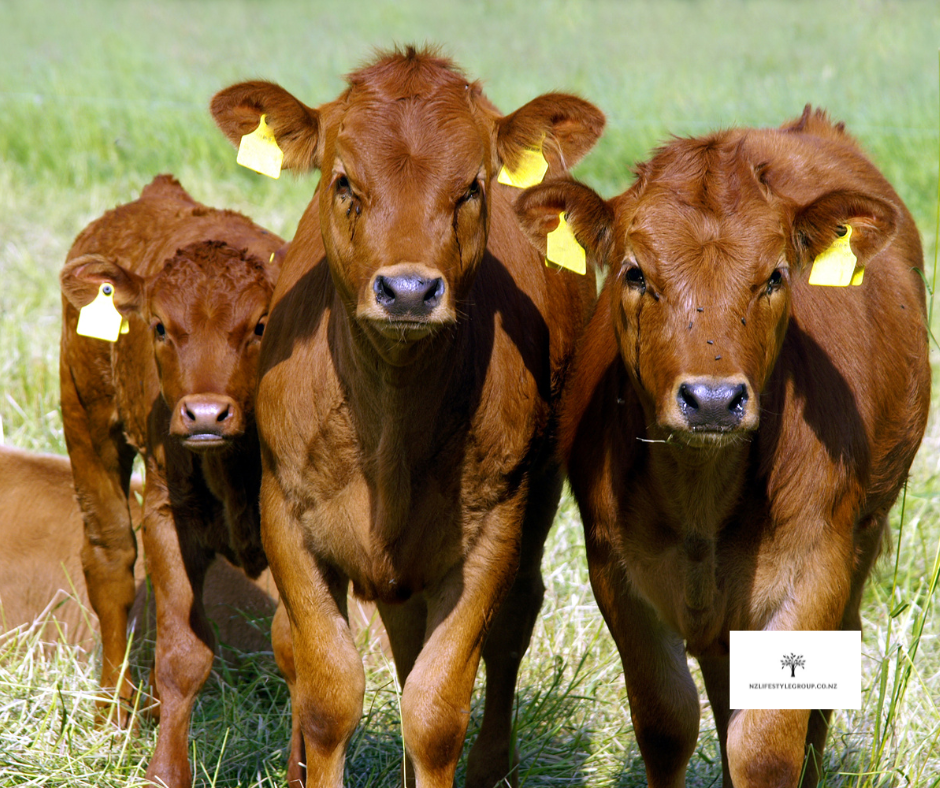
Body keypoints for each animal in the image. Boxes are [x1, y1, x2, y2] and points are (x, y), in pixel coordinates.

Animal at [59, 174, 284, 787]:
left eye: (260, 326)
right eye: (159, 326)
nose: (205, 413)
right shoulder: (167, 513)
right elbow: (182, 656)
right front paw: (165, 771)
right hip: (86, 420)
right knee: (110, 562)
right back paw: (113, 718)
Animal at [210, 46, 605, 788]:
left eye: (473, 187)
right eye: (343, 182)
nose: (410, 290)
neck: (388, 425)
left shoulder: (493, 528)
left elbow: (436, 705)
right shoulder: (286, 517)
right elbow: (329, 691)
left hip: (539, 493)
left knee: (513, 622)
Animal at [513, 106, 931, 787]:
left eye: (775, 276)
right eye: (635, 272)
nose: (712, 400)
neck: (699, 495)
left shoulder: (815, 569)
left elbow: (765, 746)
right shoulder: (617, 574)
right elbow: (666, 724)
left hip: (863, 541)